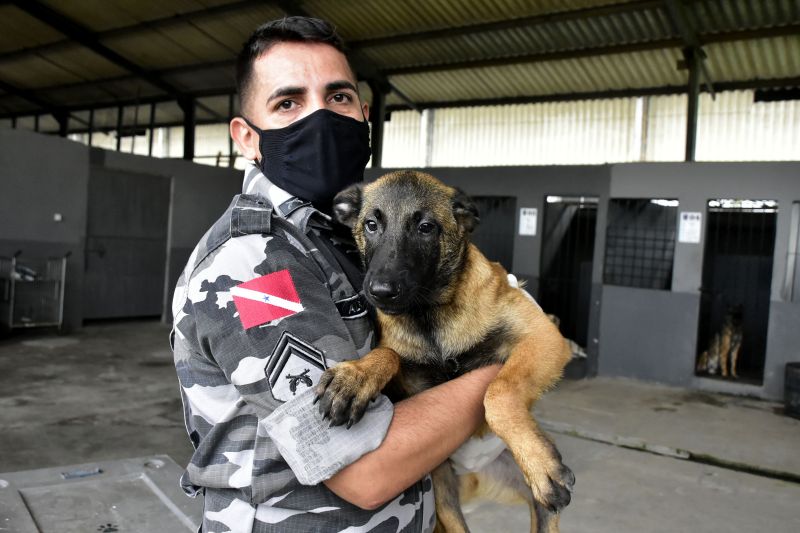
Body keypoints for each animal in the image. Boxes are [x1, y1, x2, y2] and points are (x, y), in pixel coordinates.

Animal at [314, 171, 576, 532]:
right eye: (371, 224)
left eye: (426, 227)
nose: (380, 291)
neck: (430, 319)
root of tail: (476, 473)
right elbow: (388, 354)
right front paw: (355, 376)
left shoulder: (543, 335)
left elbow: (498, 392)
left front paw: (539, 464)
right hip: (442, 492)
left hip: (540, 510)